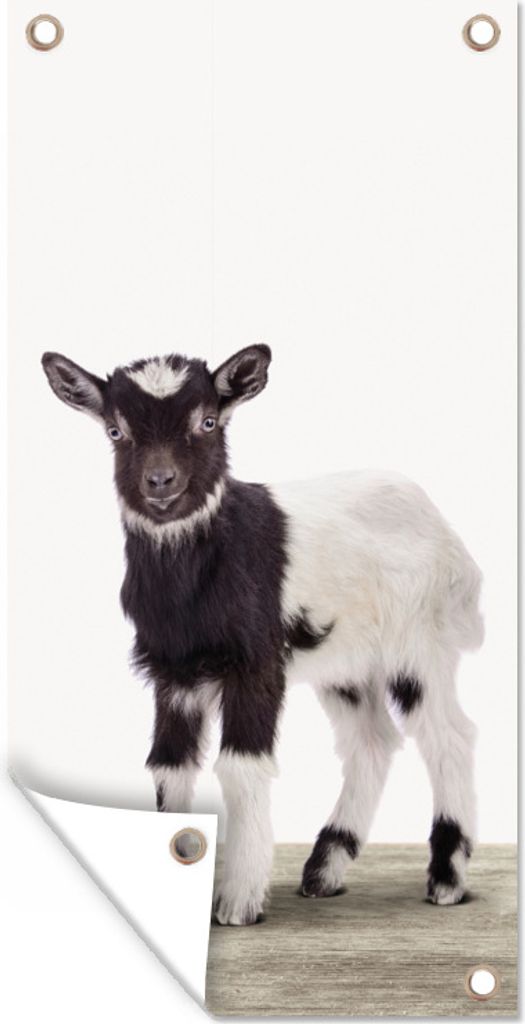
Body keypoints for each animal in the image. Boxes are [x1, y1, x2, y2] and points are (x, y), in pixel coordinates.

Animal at [42, 345, 483, 925]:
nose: (160, 482)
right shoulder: (173, 673)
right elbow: (168, 768)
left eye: (208, 421)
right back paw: (325, 870)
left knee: (447, 735)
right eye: (116, 430)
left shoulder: (255, 662)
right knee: (371, 740)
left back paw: (447, 879)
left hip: (419, 642)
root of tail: (445, 531)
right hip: (346, 661)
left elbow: (240, 766)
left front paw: (238, 902)